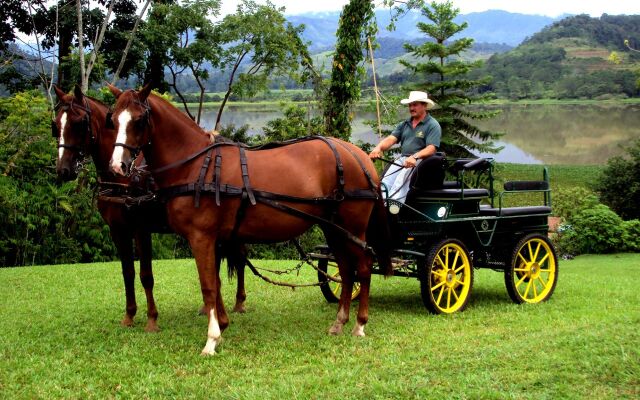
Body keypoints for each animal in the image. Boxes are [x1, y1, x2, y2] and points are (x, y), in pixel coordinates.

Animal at [53, 84, 249, 332]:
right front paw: (129, 315)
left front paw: (152, 318)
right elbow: (127, 272)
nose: (63, 169)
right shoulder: (118, 230)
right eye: (56, 125)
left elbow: (146, 274)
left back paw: (239, 301)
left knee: (240, 258)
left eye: (79, 123)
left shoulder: (141, 228)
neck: (124, 181)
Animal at [107, 83, 392, 354]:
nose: (118, 166)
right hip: (333, 228)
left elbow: (208, 286)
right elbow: (216, 282)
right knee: (345, 270)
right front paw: (222, 325)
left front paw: (212, 339)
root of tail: (359, 156)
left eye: (139, 120)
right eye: (113, 120)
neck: (196, 166)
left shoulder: (201, 237)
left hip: (352, 226)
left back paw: (359, 323)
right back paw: (339, 321)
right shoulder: (214, 239)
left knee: (363, 267)